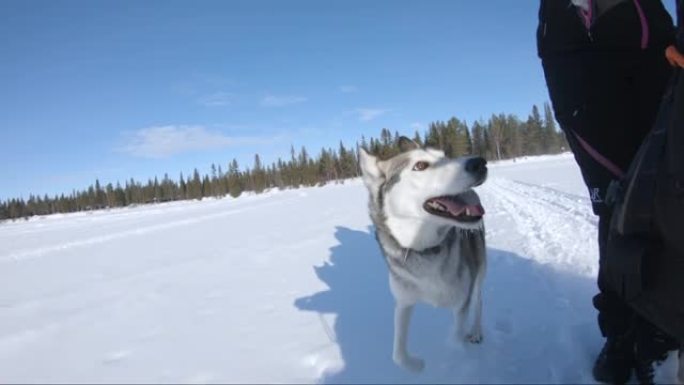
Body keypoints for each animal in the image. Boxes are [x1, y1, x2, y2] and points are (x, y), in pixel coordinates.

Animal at [358, 136, 486, 370]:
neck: (424, 250)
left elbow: (455, 340)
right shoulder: (403, 302)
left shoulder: (461, 305)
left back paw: (476, 331)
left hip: (479, 272)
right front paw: (418, 366)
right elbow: (398, 355)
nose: (479, 162)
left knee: (479, 302)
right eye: (420, 166)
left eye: (445, 157)